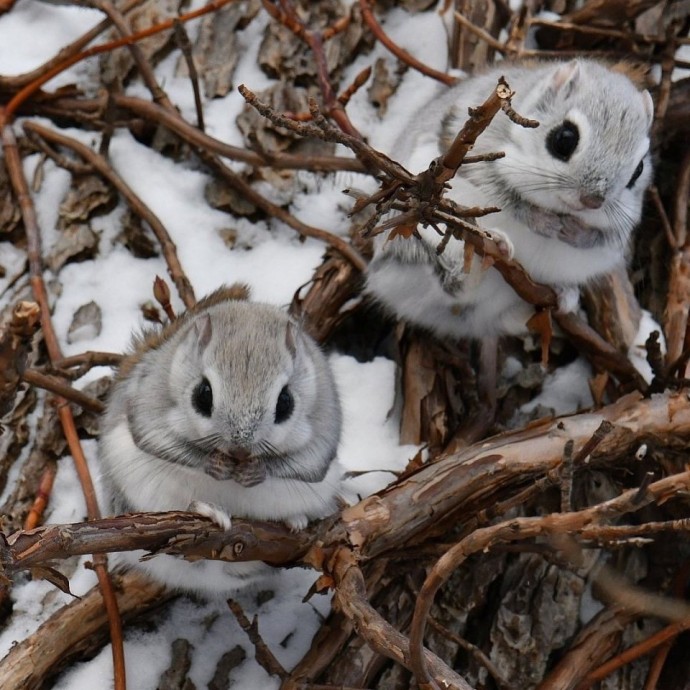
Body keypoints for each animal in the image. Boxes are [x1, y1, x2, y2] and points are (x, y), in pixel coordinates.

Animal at [95, 282, 342, 592]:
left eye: (286, 402)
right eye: (202, 394)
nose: (240, 448)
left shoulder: (324, 425)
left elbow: (307, 463)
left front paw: (255, 471)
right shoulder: (148, 405)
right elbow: (160, 442)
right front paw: (215, 465)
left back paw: (295, 519)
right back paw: (206, 510)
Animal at [366, 58, 652, 338]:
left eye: (639, 170)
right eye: (564, 138)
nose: (592, 200)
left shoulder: (621, 227)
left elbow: (604, 236)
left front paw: (576, 233)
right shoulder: (480, 156)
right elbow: (507, 196)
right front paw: (544, 222)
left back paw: (562, 297)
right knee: (455, 284)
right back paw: (490, 250)